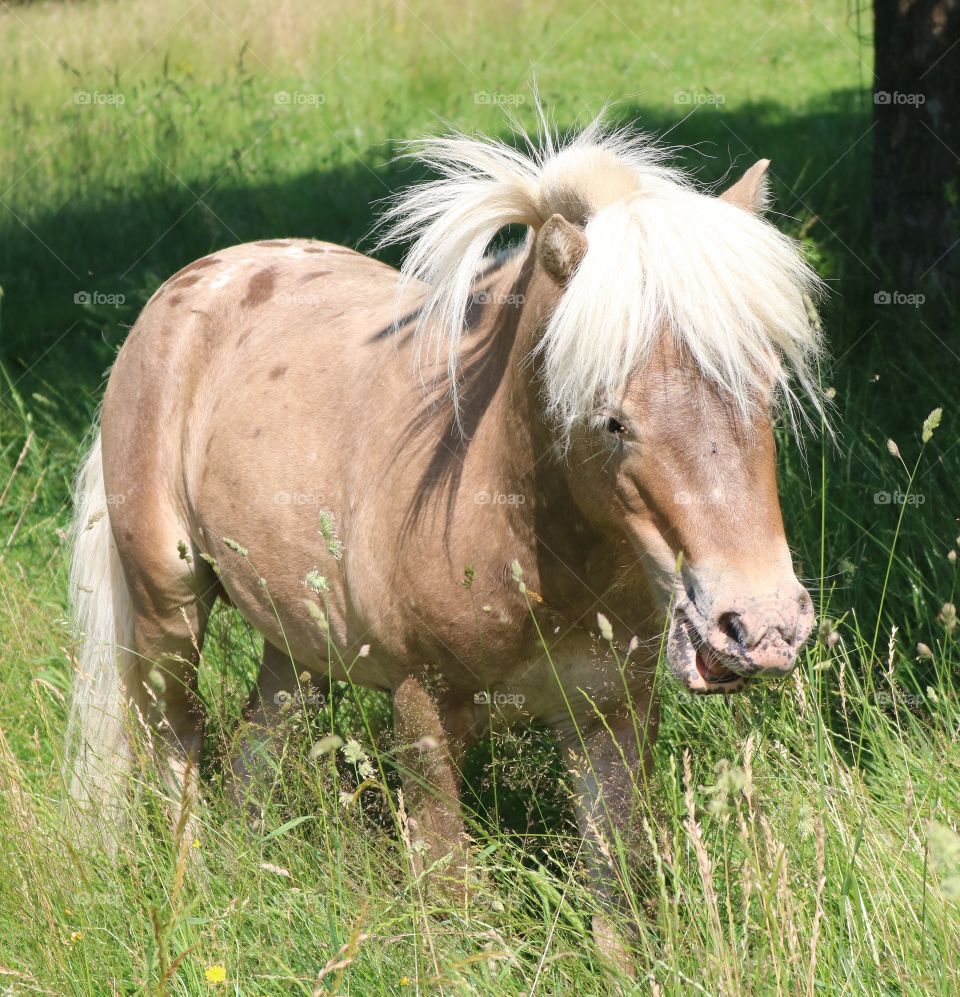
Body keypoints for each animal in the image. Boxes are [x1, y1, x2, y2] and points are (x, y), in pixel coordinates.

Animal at [66, 116, 822, 962]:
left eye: (765, 392)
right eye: (612, 421)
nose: (763, 626)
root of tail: (188, 287)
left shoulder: (612, 717)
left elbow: (619, 896)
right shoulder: (424, 715)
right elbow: (452, 894)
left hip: (298, 641)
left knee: (258, 745)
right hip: (168, 609)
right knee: (178, 743)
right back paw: (189, 892)